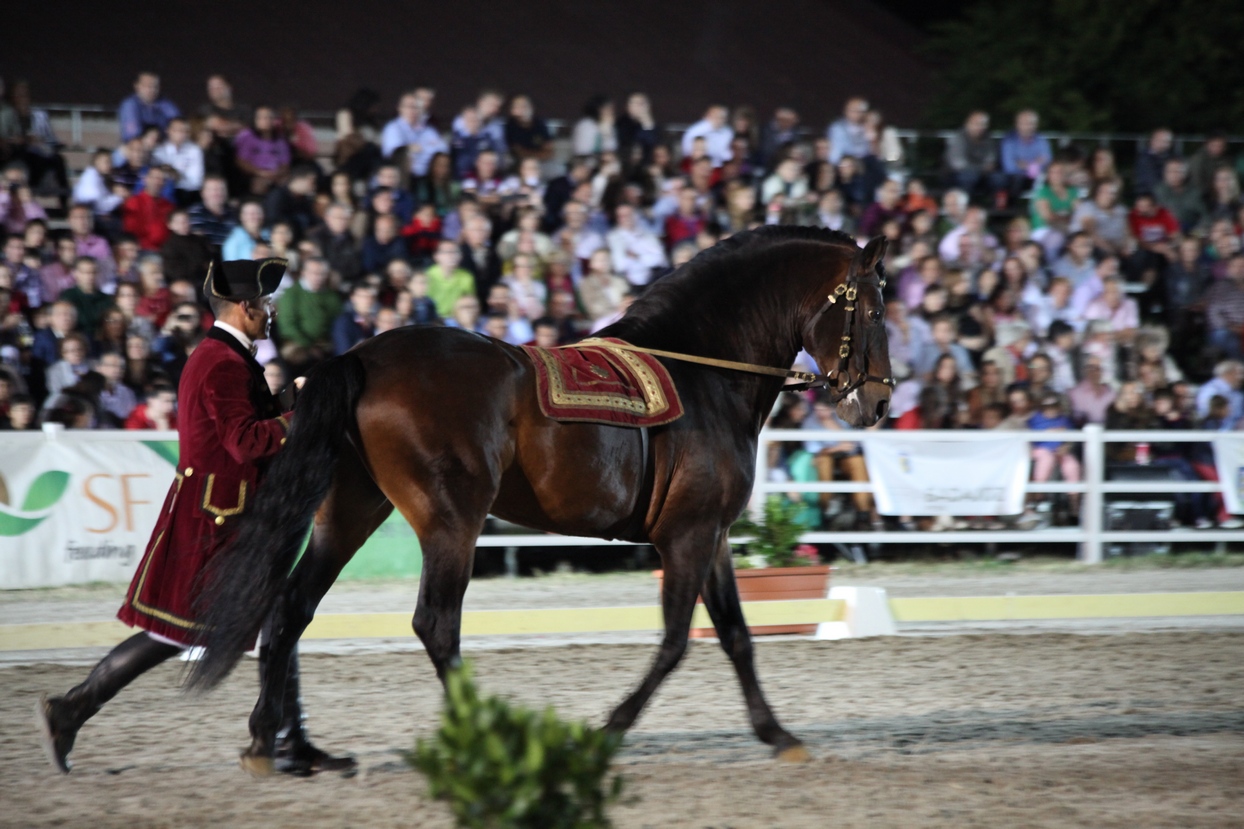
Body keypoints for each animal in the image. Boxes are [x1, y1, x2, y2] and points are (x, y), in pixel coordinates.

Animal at [186, 224, 895, 766]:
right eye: (875, 309)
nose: (880, 402)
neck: (703, 371)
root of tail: (362, 356)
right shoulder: (688, 535)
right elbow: (674, 641)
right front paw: (604, 731)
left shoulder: (710, 534)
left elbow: (737, 636)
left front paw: (777, 734)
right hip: (452, 520)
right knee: (434, 624)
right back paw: (477, 734)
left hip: (350, 514)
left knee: (292, 608)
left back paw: (271, 741)